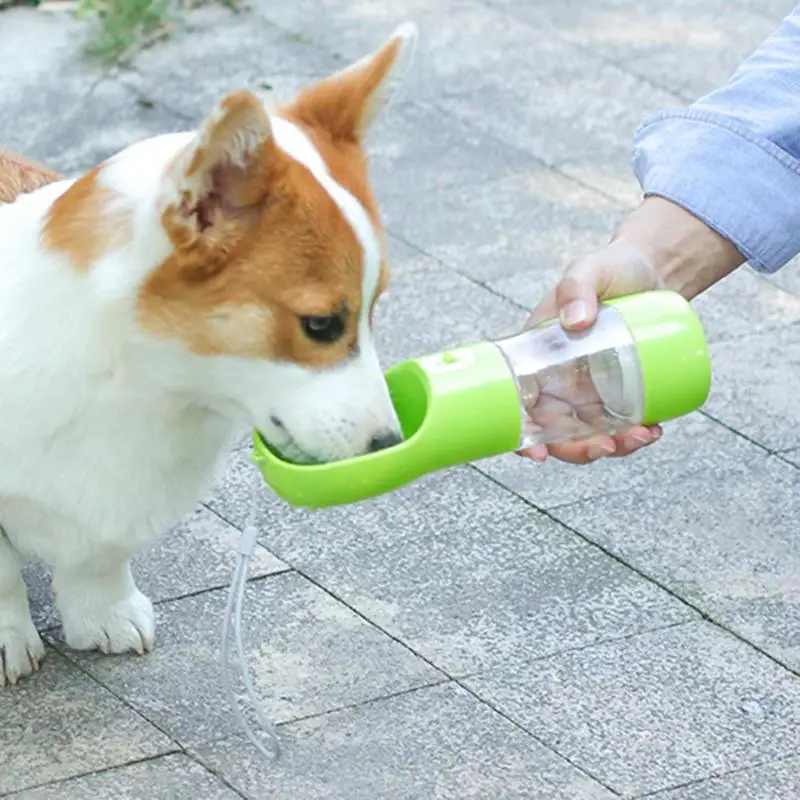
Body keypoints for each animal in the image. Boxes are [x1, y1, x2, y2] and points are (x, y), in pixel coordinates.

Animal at [0, 21, 422, 684]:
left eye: (375, 308)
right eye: (321, 324)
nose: (389, 444)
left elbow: (100, 555)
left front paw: (104, 614)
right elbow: (2, 574)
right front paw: (8, 640)